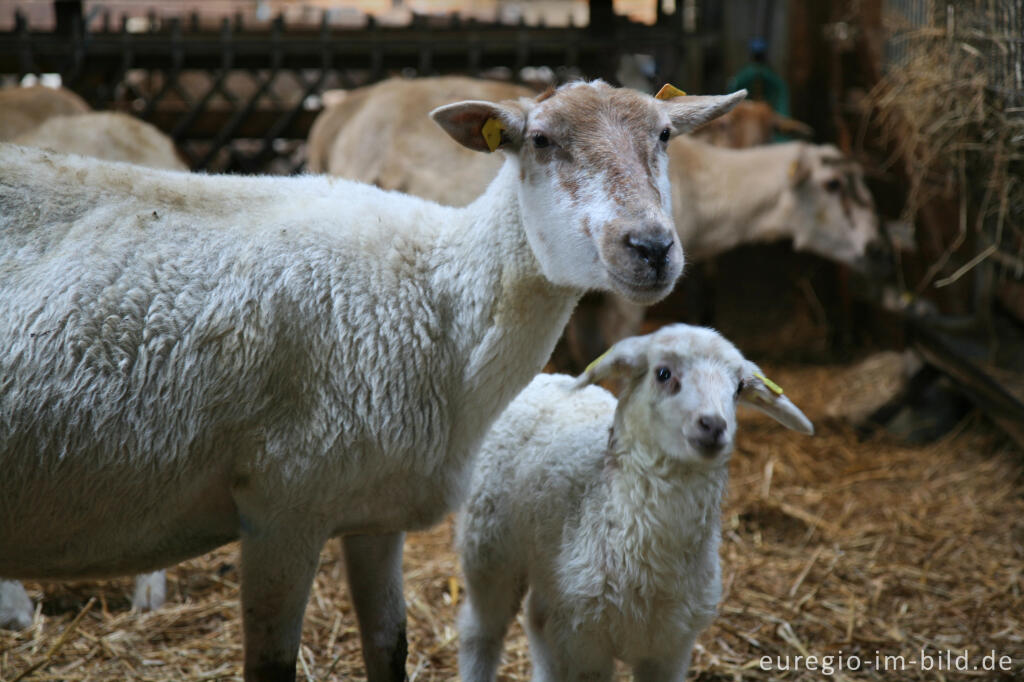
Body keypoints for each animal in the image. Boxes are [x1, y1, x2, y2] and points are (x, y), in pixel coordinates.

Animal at [0, 80, 745, 679]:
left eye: (665, 135)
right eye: (540, 140)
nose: (651, 247)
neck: (438, 299)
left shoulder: (375, 512)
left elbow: (390, 649)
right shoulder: (281, 506)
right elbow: (271, 665)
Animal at [460, 323, 811, 679]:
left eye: (738, 388)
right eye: (663, 373)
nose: (713, 425)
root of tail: (541, 377)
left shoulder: (671, 647)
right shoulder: (586, 645)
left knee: (537, 622)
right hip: (488, 549)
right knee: (481, 630)